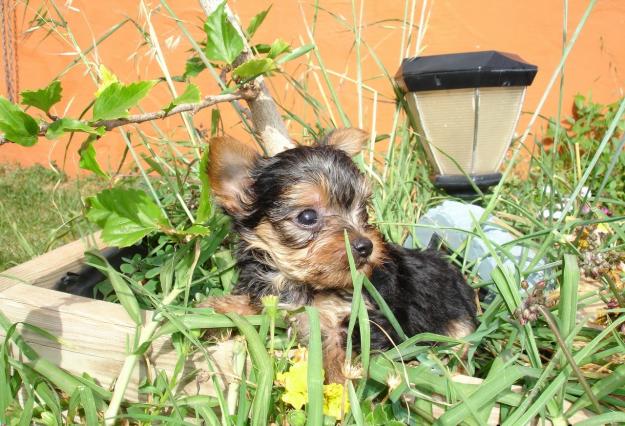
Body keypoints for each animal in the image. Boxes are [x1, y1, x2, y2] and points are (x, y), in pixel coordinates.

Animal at [202, 128, 476, 382]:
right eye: (307, 216)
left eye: (362, 209)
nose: (366, 246)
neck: (303, 283)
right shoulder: (271, 297)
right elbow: (248, 304)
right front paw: (213, 310)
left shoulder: (361, 319)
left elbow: (338, 356)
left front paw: (337, 388)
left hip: (458, 322)